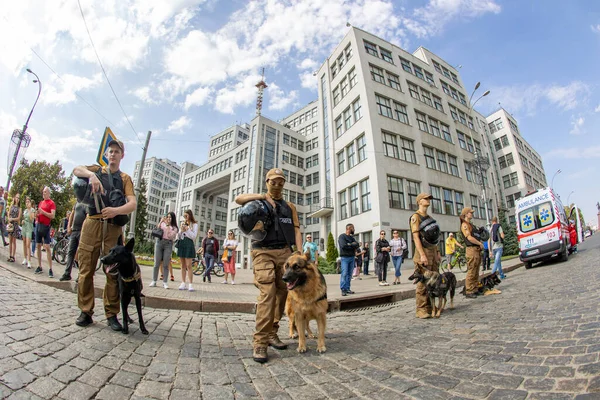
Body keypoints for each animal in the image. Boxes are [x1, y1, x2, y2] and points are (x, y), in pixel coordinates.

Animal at [71, 140, 136, 332]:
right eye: (112, 151)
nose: (112, 154)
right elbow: (85, 169)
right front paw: (94, 179)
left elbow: (131, 201)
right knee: (85, 274)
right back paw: (85, 315)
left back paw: (114, 319)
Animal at [234, 167, 300, 364]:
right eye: (273, 182)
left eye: (280, 182)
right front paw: (259, 347)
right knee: (271, 291)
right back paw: (265, 342)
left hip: (282, 278)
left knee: (280, 293)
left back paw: (273, 337)